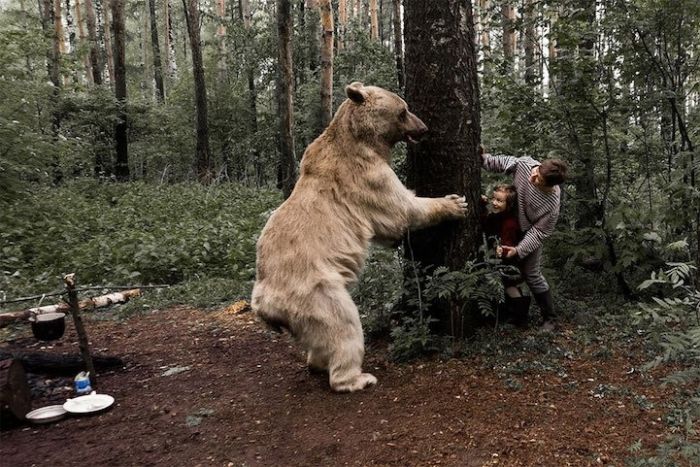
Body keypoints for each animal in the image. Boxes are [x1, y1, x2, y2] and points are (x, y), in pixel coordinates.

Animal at [249, 82, 468, 394]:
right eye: (403, 110)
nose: (424, 128)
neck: (360, 140)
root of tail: (263, 305)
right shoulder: (365, 176)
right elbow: (401, 209)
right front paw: (454, 203)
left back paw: (317, 363)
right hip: (315, 290)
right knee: (344, 325)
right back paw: (356, 378)